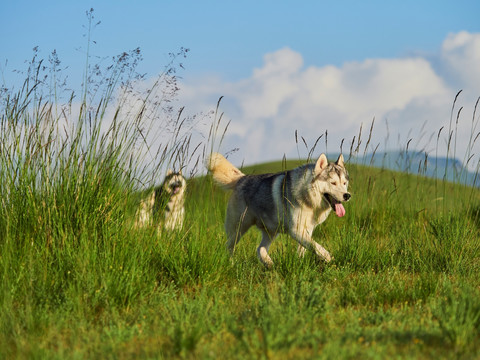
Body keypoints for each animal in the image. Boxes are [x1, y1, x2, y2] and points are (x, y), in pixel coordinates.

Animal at [208, 152, 350, 268]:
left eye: (344, 183)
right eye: (333, 183)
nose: (347, 195)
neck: (307, 196)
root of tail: (242, 178)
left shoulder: (307, 230)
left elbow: (306, 248)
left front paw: (299, 263)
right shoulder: (295, 230)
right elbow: (317, 247)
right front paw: (329, 258)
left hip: (271, 232)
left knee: (260, 249)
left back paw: (269, 263)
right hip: (238, 229)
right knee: (229, 247)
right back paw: (231, 264)